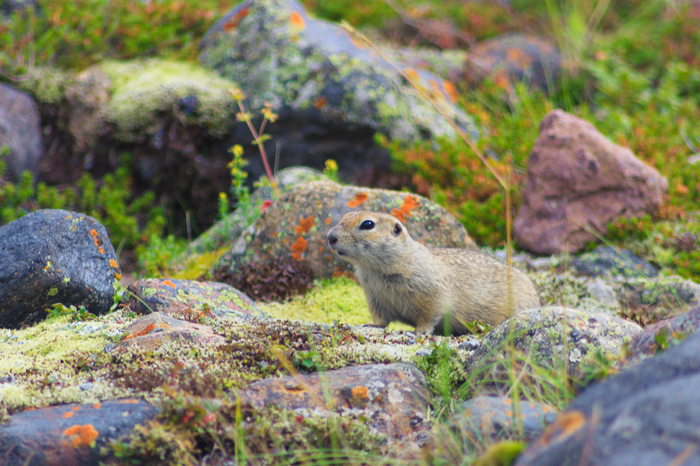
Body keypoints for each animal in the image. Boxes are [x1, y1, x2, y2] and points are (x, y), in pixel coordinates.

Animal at [328, 211, 540, 334]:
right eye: (344, 216)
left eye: (367, 224)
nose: (330, 236)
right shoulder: (375, 298)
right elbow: (381, 319)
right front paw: (371, 325)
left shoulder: (432, 295)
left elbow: (428, 317)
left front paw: (419, 332)